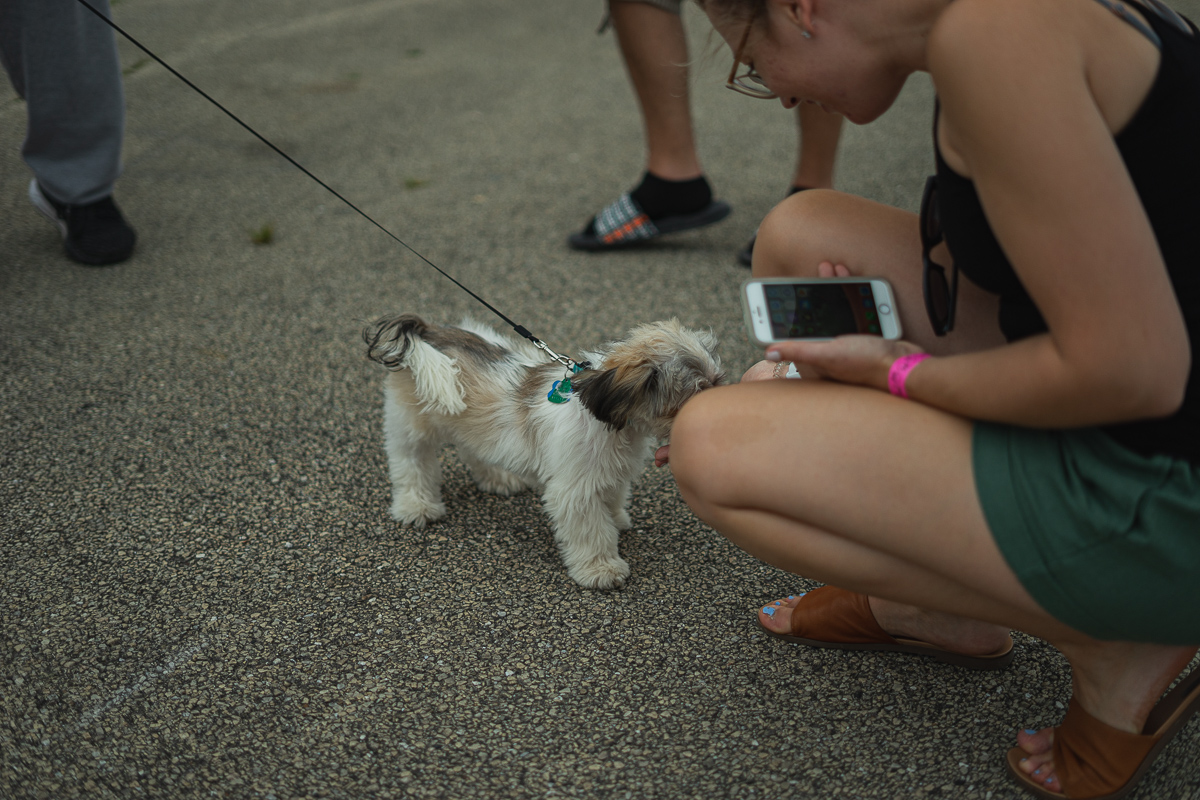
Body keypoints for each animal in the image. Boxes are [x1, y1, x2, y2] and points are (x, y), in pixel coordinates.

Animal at [362, 316, 720, 592]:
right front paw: (601, 569)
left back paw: (497, 478)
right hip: (413, 425)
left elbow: (612, 498)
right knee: (411, 462)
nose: (715, 411)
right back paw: (417, 506)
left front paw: (615, 519)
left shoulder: (608, 473)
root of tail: (425, 332)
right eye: (694, 394)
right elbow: (592, 531)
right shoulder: (576, 490)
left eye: (717, 382)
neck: (612, 423)